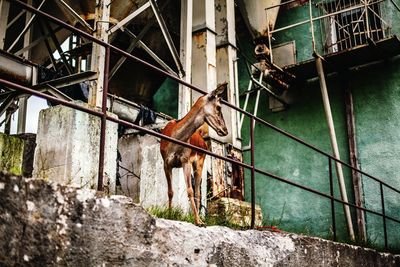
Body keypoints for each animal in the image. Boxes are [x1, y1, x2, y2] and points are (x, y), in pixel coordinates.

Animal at [159, 82, 228, 226]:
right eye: (219, 107)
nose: (225, 130)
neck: (175, 140)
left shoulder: (185, 160)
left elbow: (190, 191)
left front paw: (198, 221)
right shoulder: (166, 163)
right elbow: (170, 191)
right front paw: (169, 215)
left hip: (200, 163)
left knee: (198, 191)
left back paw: (200, 218)